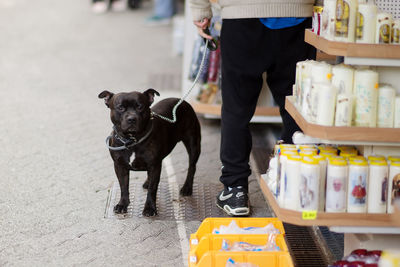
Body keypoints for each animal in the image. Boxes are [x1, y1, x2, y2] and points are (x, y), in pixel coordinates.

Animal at [99, 90, 202, 218]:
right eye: (121, 107)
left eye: (140, 107)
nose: (131, 118)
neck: (132, 140)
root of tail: (181, 101)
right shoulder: (120, 166)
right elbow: (123, 187)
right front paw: (122, 204)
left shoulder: (155, 165)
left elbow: (152, 189)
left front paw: (150, 208)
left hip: (193, 144)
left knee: (192, 166)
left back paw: (187, 187)